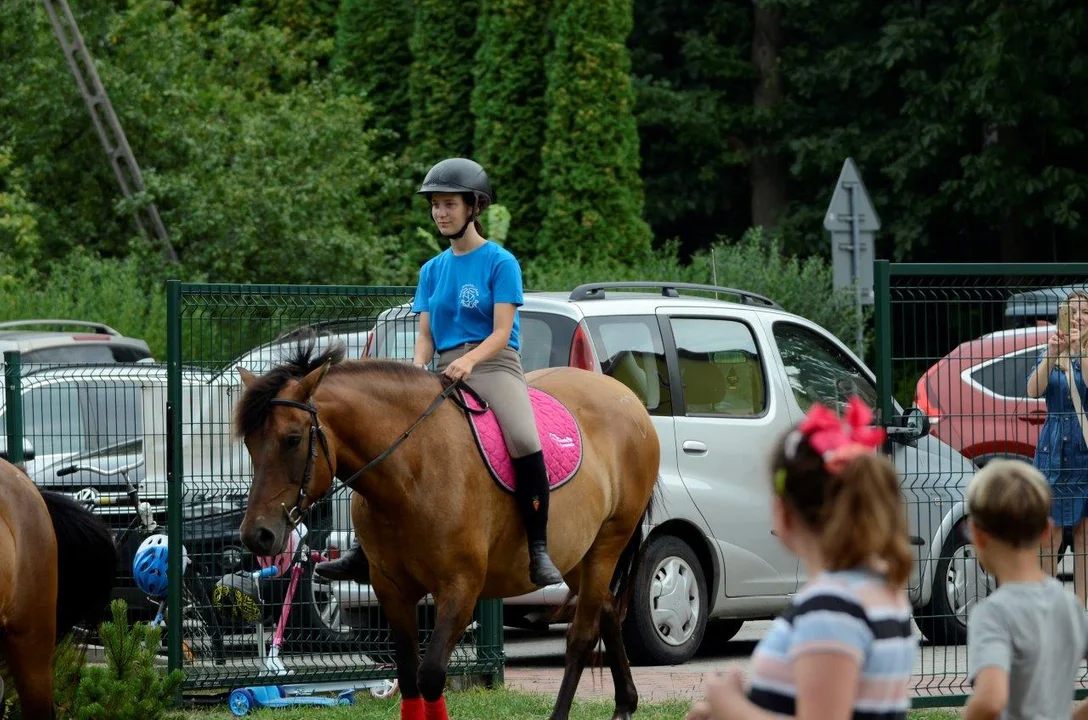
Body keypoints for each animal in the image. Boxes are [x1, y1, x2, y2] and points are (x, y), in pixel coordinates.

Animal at [238, 339, 657, 720]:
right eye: (250, 444)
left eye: (292, 440)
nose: (257, 535)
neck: (411, 471)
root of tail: (626, 397)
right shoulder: (392, 589)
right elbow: (409, 678)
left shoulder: (460, 589)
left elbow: (430, 675)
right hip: (575, 556)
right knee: (606, 609)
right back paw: (625, 705)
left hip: (607, 545)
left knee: (582, 635)